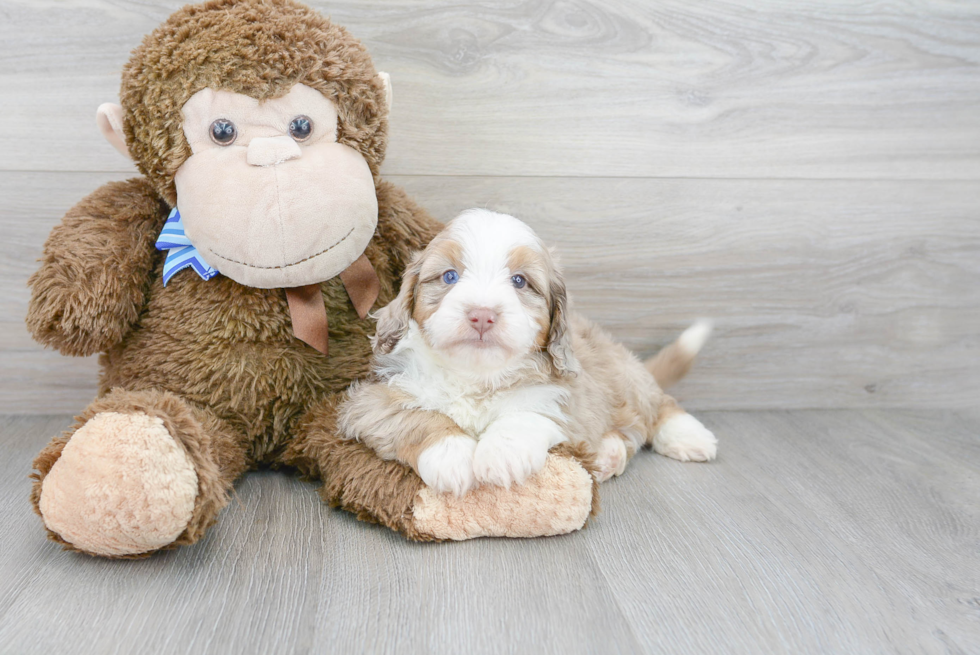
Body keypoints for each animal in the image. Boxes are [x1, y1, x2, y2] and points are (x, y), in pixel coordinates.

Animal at [340, 210, 716, 498]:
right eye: (449, 276)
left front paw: (501, 454)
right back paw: (609, 453)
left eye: (520, 282)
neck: (475, 377)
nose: (482, 315)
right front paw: (453, 455)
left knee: (656, 406)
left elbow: (527, 411)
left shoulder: (563, 396)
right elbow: (414, 415)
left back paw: (688, 436)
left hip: (623, 375)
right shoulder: (371, 399)